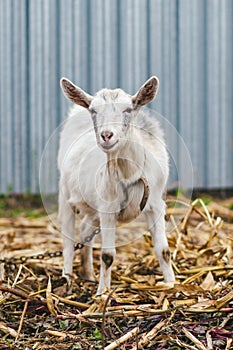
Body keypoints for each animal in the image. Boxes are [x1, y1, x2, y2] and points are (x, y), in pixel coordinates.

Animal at [58, 77, 175, 296]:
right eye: (94, 111)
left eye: (128, 109)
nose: (106, 135)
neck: (130, 174)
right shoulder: (107, 208)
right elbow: (107, 255)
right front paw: (102, 294)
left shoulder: (156, 203)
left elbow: (164, 250)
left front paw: (172, 284)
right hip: (65, 193)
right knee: (68, 242)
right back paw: (67, 279)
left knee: (85, 229)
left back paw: (88, 274)